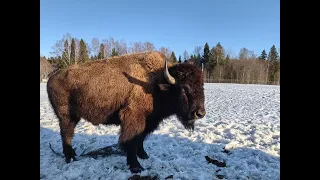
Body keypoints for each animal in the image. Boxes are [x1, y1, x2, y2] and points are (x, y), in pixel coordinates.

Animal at [46, 51, 205, 173]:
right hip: (66, 116)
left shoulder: (148, 121)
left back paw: (73, 155)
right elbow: (131, 141)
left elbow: (140, 139)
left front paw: (143, 155)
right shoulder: (133, 118)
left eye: (202, 86)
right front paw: (136, 166)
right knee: (66, 134)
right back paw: (70, 158)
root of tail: (51, 78)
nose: (200, 113)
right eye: (184, 88)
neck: (157, 82)